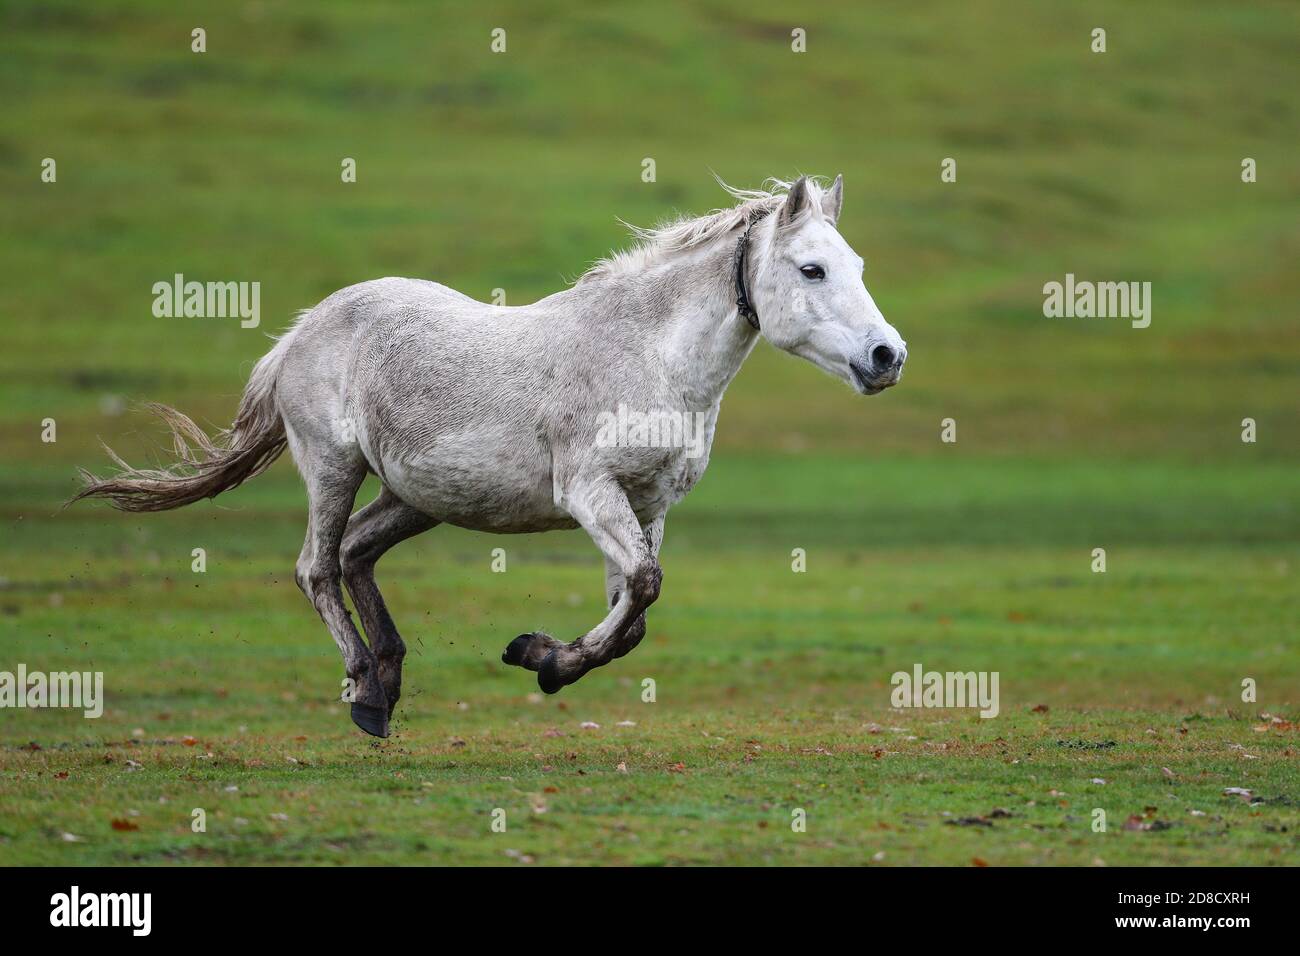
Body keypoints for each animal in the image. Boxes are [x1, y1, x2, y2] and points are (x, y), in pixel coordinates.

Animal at [71, 175, 904, 738]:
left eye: (859, 266)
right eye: (811, 270)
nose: (886, 356)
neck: (649, 355)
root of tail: (302, 330)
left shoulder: (648, 505)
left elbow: (631, 615)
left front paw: (541, 657)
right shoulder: (590, 491)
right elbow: (643, 587)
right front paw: (544, 661)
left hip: (417, 497)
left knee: (355, 552)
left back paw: (389, 677)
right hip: (335, 467)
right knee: (317, 566)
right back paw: (365, 694)